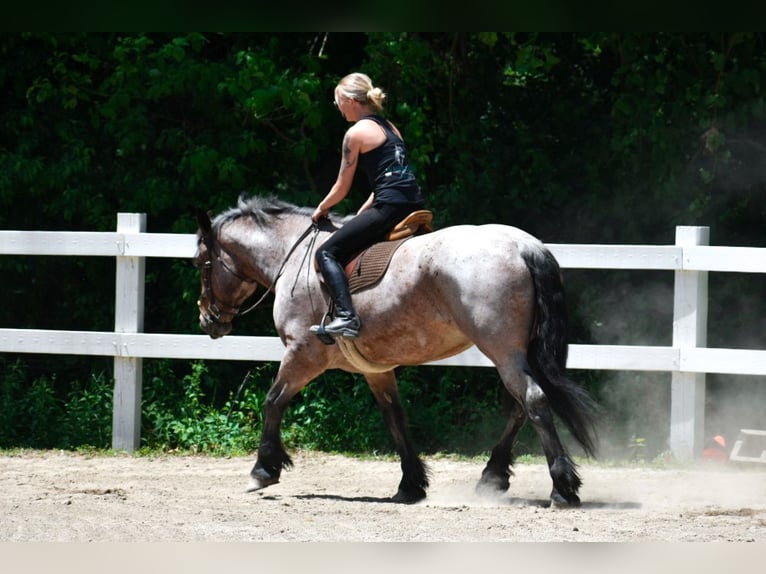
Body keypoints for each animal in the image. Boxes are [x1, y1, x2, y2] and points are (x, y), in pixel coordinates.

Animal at [192, 195, 600, 508]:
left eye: (200, 263)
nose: (207, 320)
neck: (294, 257)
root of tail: (523, 245)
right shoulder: (375, 368)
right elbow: (395, 417)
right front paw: (411, 484)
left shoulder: (302, 355)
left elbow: (273, 401)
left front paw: (263, 469)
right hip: (515, 352)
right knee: (520, 407)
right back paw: (493, 476)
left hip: (502, 350)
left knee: (533, 401)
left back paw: (562, 488)